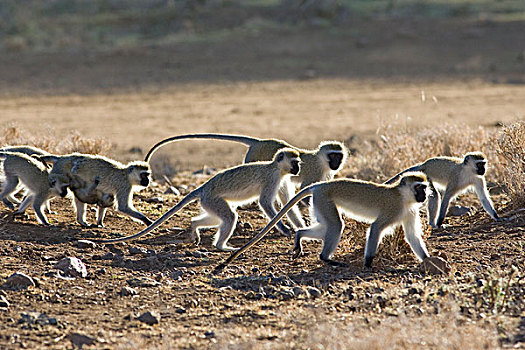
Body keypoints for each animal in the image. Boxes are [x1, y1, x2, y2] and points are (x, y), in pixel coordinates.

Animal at [96, 149, 300, 250]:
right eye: (294, 162)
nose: (297, 169)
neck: (277, 167)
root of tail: (204, 187)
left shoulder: (282, 179)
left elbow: (288, 204)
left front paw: (298, 227)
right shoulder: (272, 178)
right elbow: (265, 202)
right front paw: (284, 229)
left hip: (209, 203)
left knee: (218, 217)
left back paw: (195, 226)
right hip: (212, 199)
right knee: (229, 217)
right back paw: (221, 247)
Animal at [143, 133, 348, 228]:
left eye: (339, 155)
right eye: (333, 155)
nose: (336, 163)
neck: (321, 160)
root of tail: (258, 141)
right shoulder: (315, 172)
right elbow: (306, 190)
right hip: (253, 160)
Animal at [214, 174, 430, 272]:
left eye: (424, 187)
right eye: (419, 187)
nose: (424, 195)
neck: (404, 198)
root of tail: (320, 184)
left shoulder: (410, 211)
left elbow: (412, 236)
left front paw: (428, 261)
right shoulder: (392, 209)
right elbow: (376, 228)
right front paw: (368, 264)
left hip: (319, 203)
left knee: (326, 227)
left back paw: (300, 235)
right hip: (324, 199)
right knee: (335, 226)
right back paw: (326, 258)